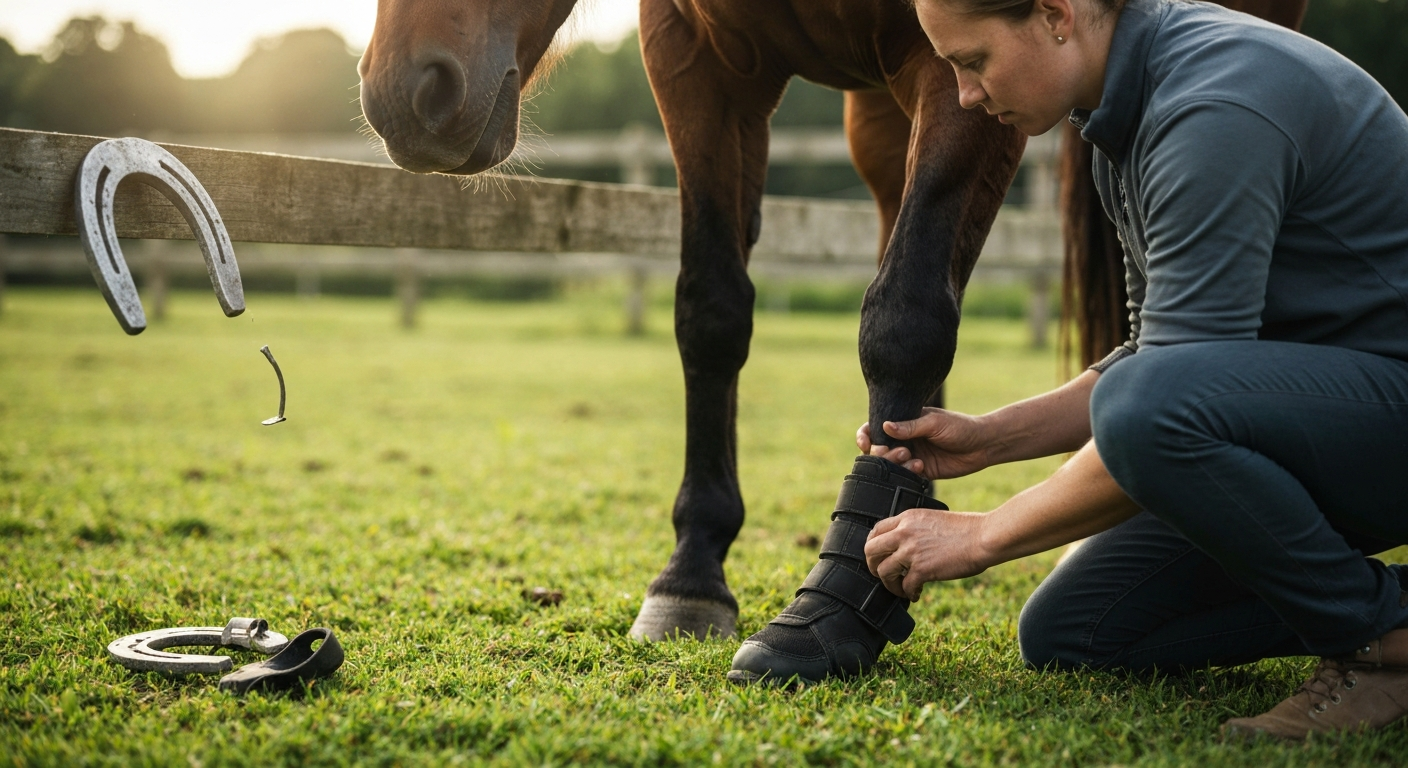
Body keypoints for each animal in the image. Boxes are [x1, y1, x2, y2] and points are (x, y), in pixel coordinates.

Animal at [358, 0, 1308, 665]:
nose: (408, 93)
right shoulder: (697, 59)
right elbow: (712, 311)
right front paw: (694, 577)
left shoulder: (963, 66)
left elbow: (905, 318)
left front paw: (839, 602)